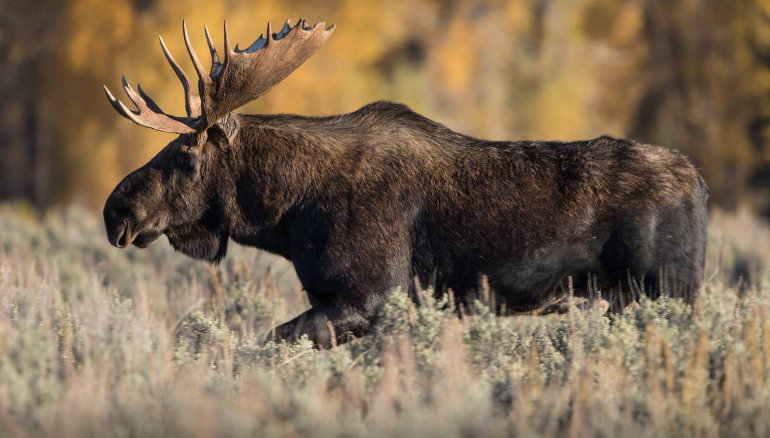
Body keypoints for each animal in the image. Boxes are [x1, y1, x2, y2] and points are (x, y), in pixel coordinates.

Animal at [102, 18, 708, 348]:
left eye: (184, 154)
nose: (116, 211)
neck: (287, 215)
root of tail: (701, 184)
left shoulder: (369, 296)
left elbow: (271, 341)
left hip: (667, 290)